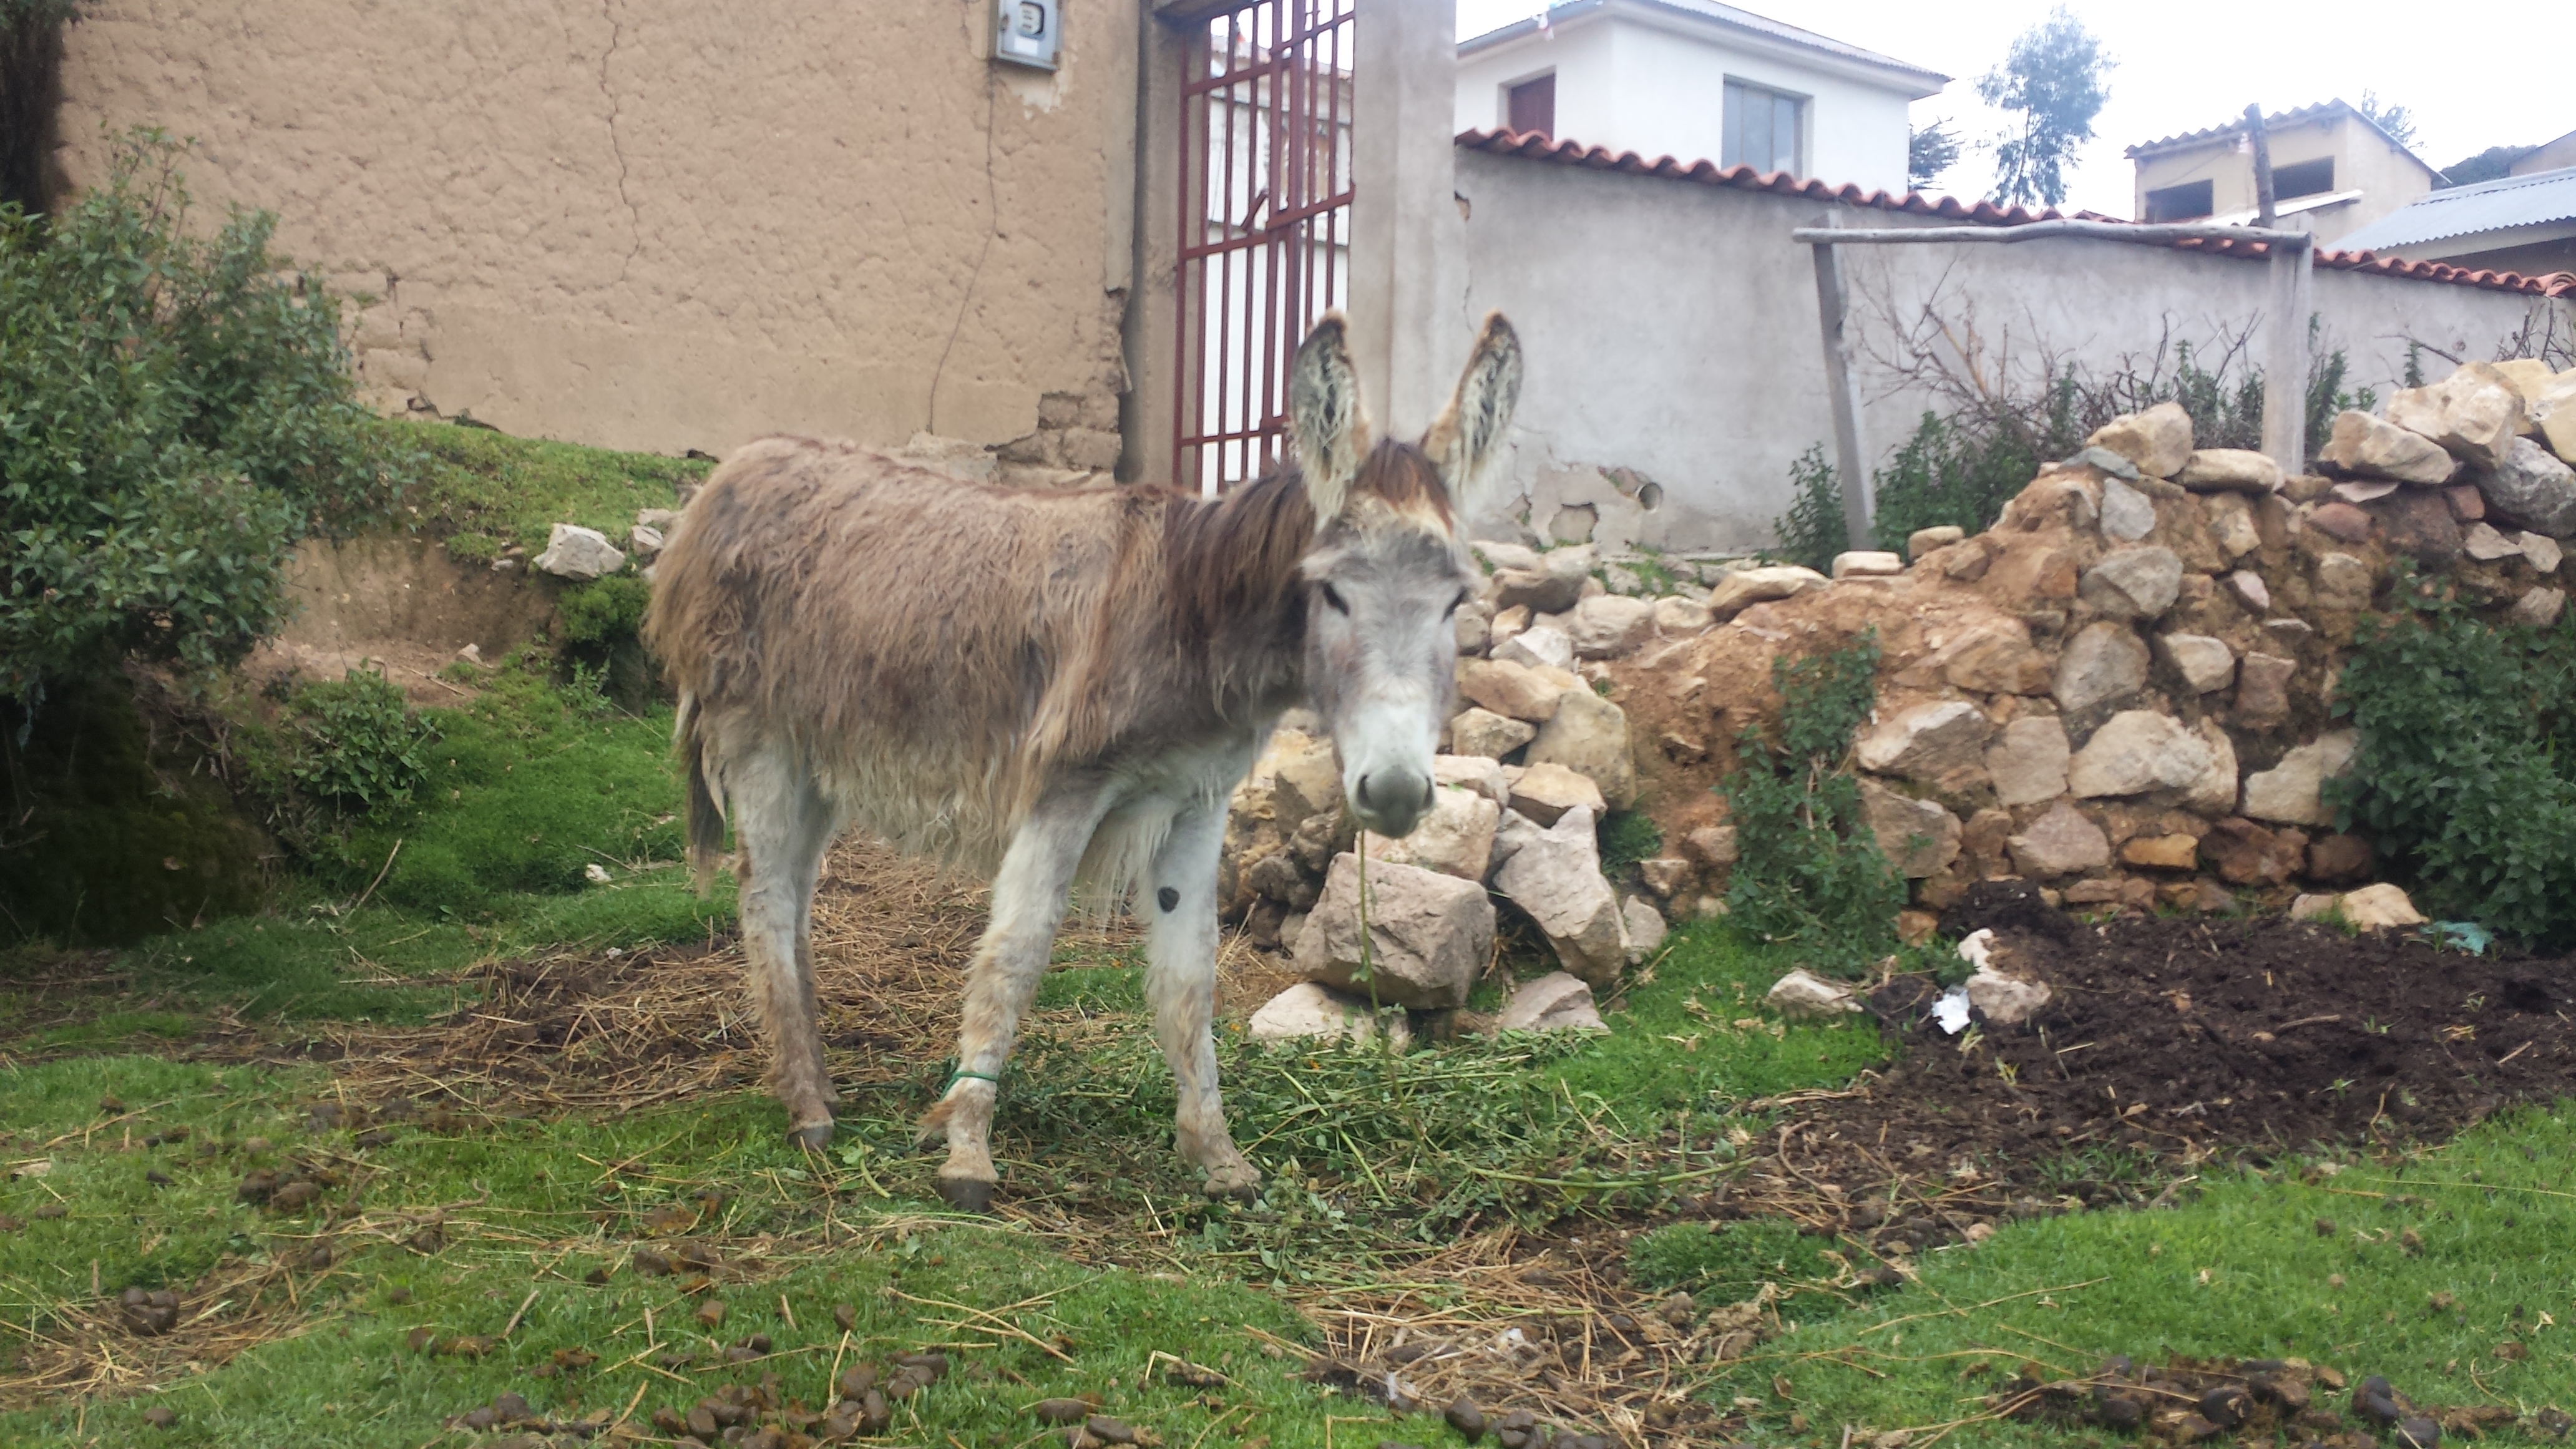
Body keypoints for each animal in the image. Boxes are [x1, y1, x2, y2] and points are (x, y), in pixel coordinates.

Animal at [641, 311, 1523, 1209]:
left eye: (1456, 601)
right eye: (1333, 593)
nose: (1397, 791)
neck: (1189, 614)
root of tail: (735, 470)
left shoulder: (1197, 803)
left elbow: (1189, 975)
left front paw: (1217, 1155)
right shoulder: (1064, 789)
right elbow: (1016, 953)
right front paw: (967, 1148)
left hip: (822, 757)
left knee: (796, 898)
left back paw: (817, 1075)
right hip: (761, 740)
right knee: (767, 898)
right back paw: (808, 1105)